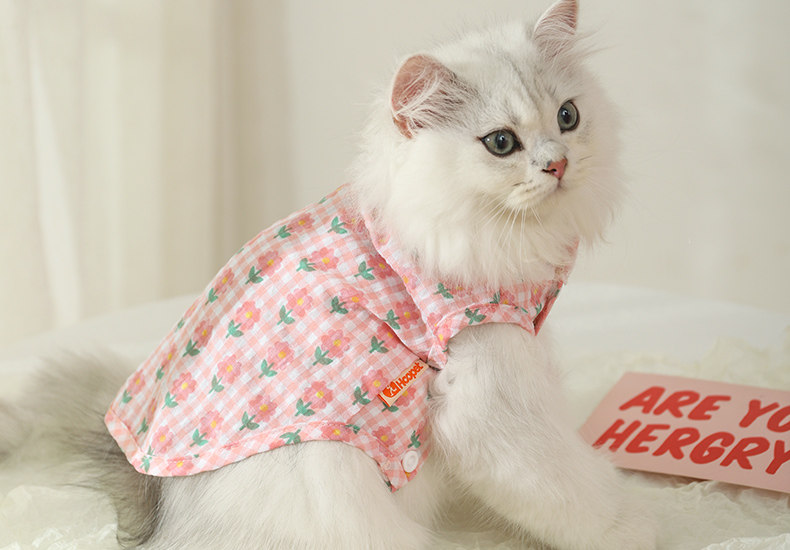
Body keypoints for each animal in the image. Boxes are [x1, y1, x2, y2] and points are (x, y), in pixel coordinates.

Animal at [1, 1, 656, 548]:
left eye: (568, 117)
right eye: (501, 143)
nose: (558, 164)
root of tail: (160, 512)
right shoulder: (492, 395)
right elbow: (580, 494)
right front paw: (641, 527)